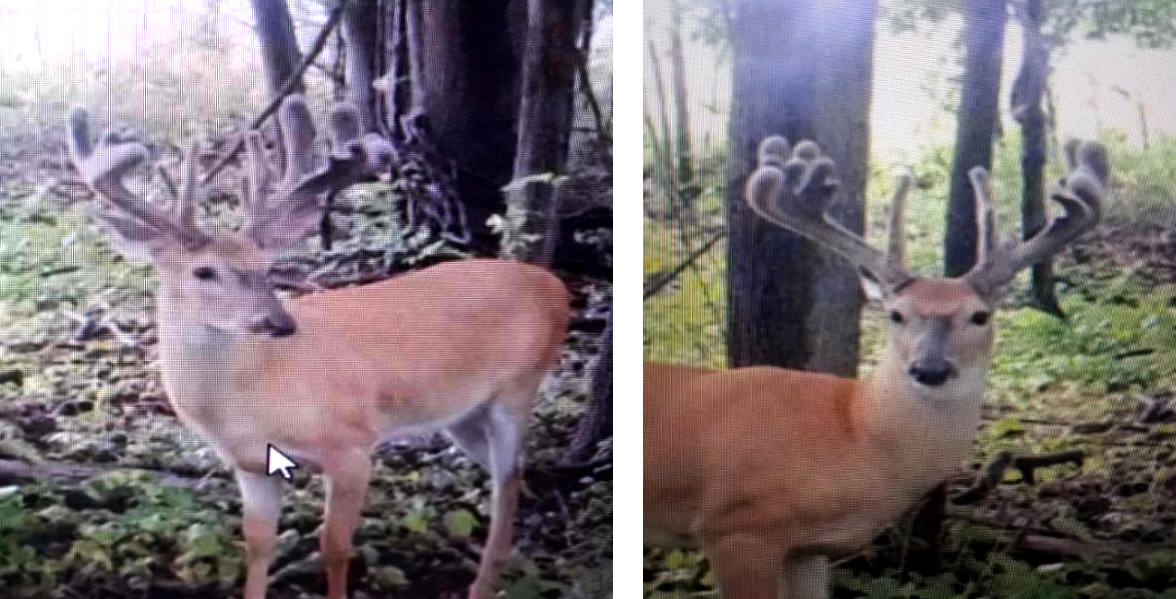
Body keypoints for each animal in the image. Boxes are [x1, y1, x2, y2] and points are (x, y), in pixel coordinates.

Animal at [66, 94, 571, 597]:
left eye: (267, 267)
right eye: (204, 271)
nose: (279, 322)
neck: (253, 394)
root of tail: (556, 286)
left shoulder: (351, 446)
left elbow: (334, 546)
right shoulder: (251, 467)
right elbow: (257, 545)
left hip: (518, 386)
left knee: (508, 477)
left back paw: (484, 582)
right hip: (461, 414)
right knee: (512, 472)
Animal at [649, 136, 1105, 597]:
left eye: (980, 316)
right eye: (896, 314)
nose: (930, 369)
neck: (855, 435)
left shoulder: (807, 547)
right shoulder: (735, 524)